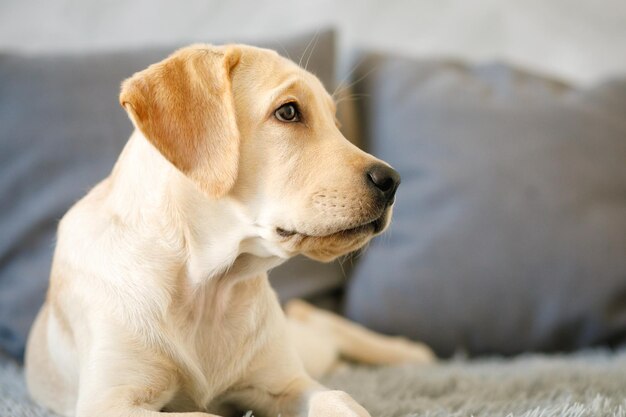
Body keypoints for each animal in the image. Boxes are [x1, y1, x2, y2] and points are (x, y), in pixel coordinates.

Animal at [25, 44, 434, 416]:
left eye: (337, 124)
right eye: (288, 111)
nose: (393, 181)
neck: (208, 287)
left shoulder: (286, 383)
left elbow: (340, 400)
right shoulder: (111, 402)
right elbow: (203, 414)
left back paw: (411, 352)